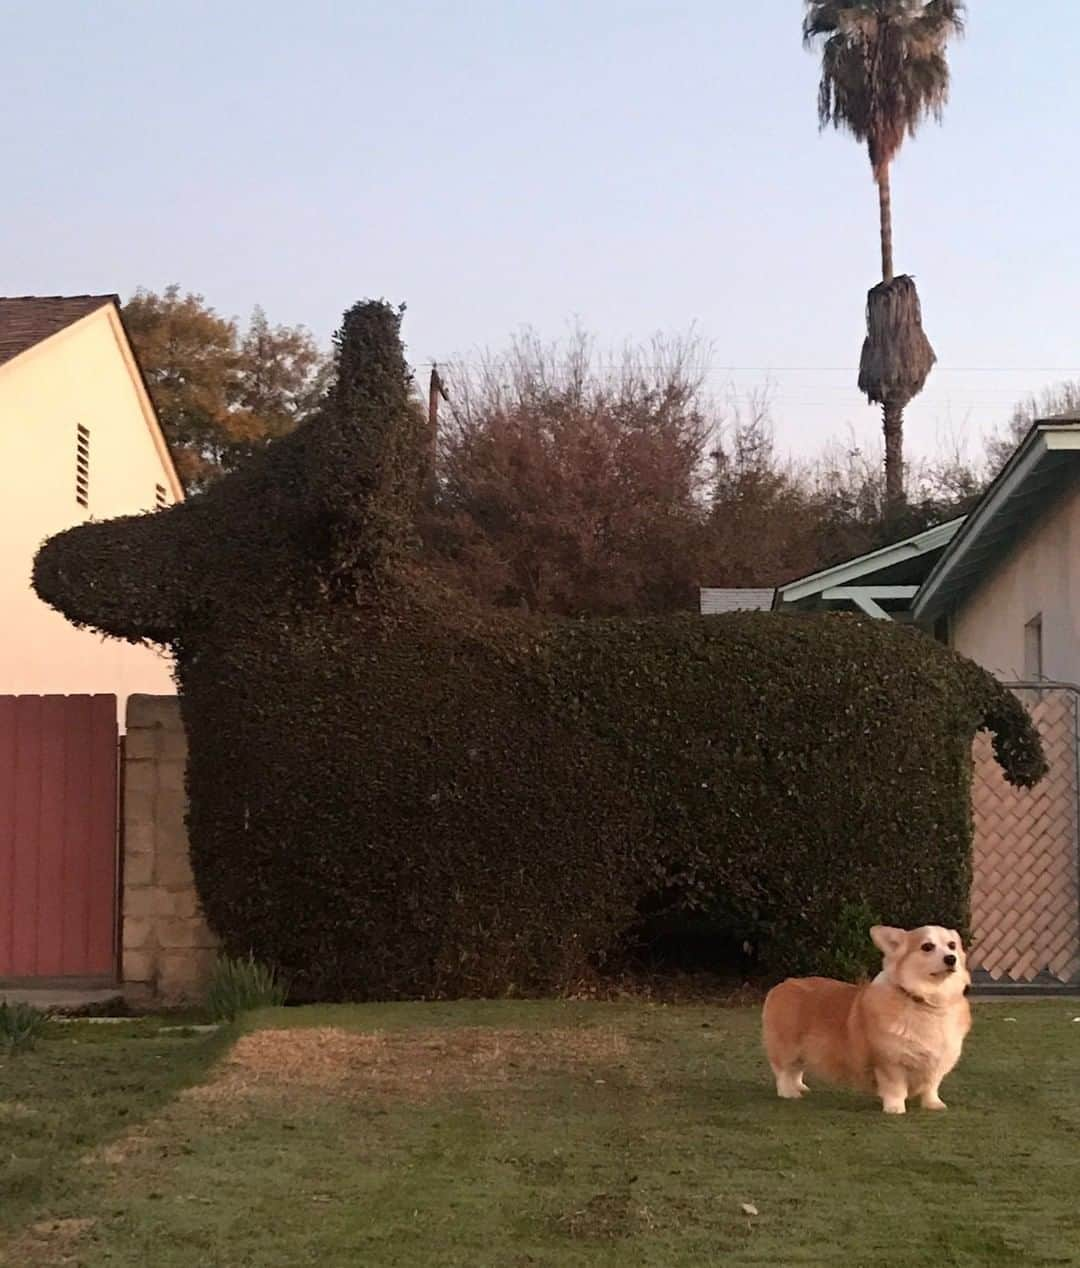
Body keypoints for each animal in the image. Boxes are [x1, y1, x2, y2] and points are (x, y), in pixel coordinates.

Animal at [760, 928, 968, 1115]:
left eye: (952, 945)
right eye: (927, 947)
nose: (951, 958)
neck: (927, 1002)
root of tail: (783, 984)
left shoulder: (939, 1060)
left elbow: (931, 1086)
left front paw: (934, 1104)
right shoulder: (889, 1061)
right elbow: (895, 1087)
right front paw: (895, 1108)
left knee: (796, 1069)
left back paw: (800, 1086)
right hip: (787, 1046)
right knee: (784, 1071)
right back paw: (789, 1092)